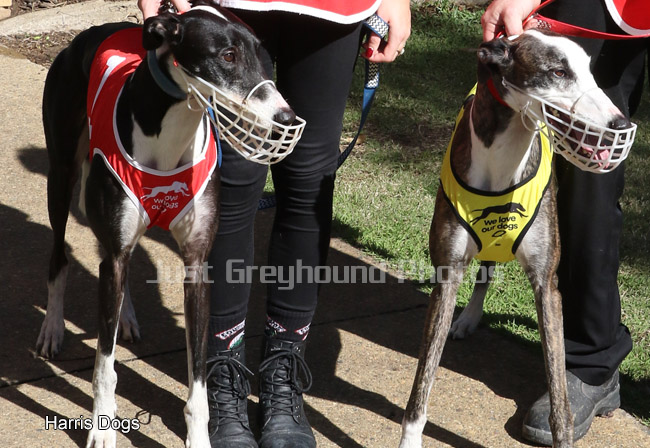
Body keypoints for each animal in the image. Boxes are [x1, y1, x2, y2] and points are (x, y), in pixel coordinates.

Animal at [36, 3, 297, 446]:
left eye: (263, 56)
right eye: (227, 56)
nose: (286, 118)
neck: (171, 137)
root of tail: (90, 32)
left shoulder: (197, 265)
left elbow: (198, 377)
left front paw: (200, 436)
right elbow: (104, 367)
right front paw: (102, 426)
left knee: (116, 264)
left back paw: (125, 316)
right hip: (61, 175)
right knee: (60, 258)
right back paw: (53, 327)